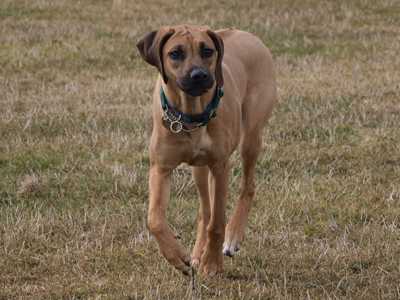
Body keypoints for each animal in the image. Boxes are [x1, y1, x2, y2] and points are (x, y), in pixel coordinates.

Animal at [136, 25, 276, 276]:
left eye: (208, 51)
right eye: (175, 53)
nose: (199, 75)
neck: (191, 116)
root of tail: (243, 32)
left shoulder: (220, 166)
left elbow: (218, 222)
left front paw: (212, 263)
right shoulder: (160, 168)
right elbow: (155, 219)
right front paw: (177, 256)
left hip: (251, 135)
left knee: (247, 186)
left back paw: (233, 236)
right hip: (199, 168)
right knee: (205, 211)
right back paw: (195, 254)